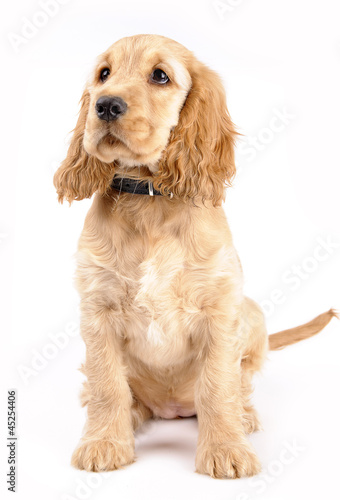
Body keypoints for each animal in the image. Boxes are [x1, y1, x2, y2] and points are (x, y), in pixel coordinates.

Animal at [54, 33, 336, 478]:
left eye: (160, 76)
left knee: (240, 381)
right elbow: (107, 384)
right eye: (104, 74)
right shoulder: (97, 309)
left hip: (250, 310)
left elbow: (218, 386)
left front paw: (226, 449)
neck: (149, 199)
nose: (105, 105)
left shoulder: (219, 308)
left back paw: (245, 414)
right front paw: (103, 442)